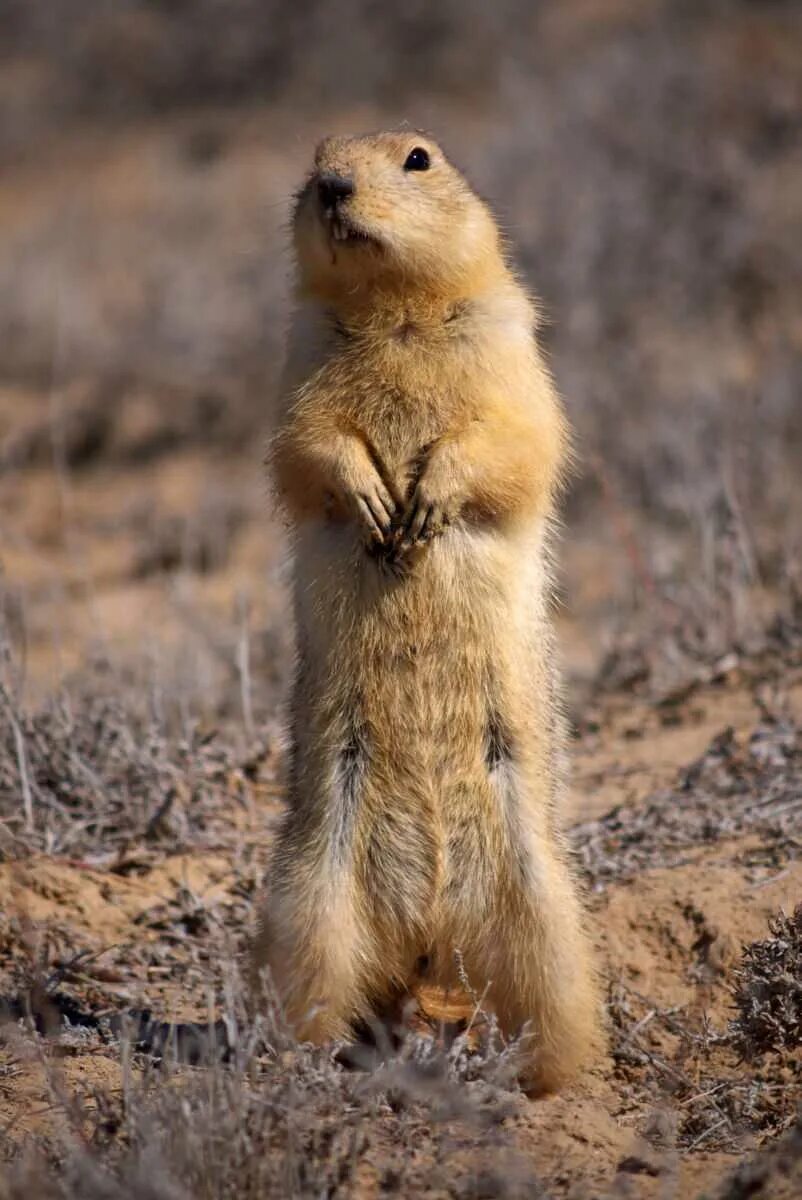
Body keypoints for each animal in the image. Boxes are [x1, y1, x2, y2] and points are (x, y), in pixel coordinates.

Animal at [252, 131, 600, 1099]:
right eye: (314, 158)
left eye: (418, 157)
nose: (333, 186)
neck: (397, 313)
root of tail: (430, 934)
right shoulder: (297, 361)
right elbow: (306, 446)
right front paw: (375, 501)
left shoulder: (512, 347)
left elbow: (513, 437)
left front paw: (424, 500)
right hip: (309, 904)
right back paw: (315, 1069)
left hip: (546, 919)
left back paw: (557, 1086)